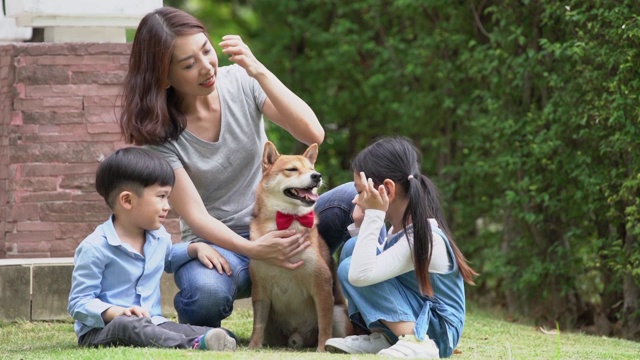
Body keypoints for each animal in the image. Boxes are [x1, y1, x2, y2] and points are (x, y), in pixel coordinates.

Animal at [248, 141, 352, 352]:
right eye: (292, 169)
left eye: (311, 169)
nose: (317, 176)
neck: (287, 220)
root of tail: (299, 338)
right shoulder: (260, 289)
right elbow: (258, 325)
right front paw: (253, 346)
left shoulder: (321, 285)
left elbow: (325, 324)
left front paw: (322, 350)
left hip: (339, 315)